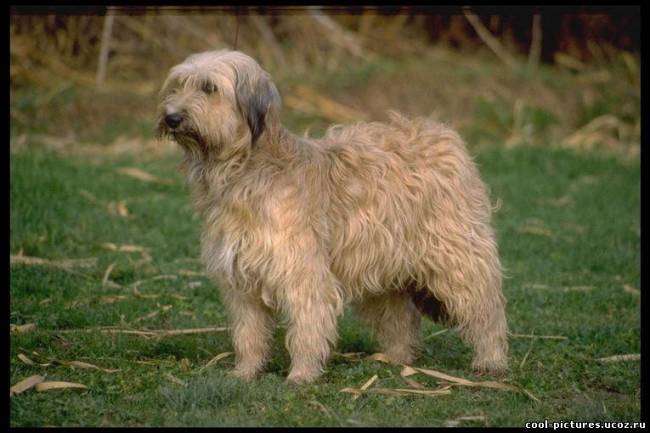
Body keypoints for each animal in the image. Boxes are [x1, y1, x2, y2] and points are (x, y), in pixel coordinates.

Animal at [157, 49, 506, 384]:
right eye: (177, 85)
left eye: (209, 88)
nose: (172, 118)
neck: (247, 170)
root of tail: (444, 134)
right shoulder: (241, 278)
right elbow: (249, 332)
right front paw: (245, 372)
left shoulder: (301, 272)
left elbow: (307, 326)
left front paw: (302, 374)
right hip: (382, 263)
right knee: (400, 316)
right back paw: (396, 359)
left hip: (456, 257)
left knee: (485, 310)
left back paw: (490, 361)